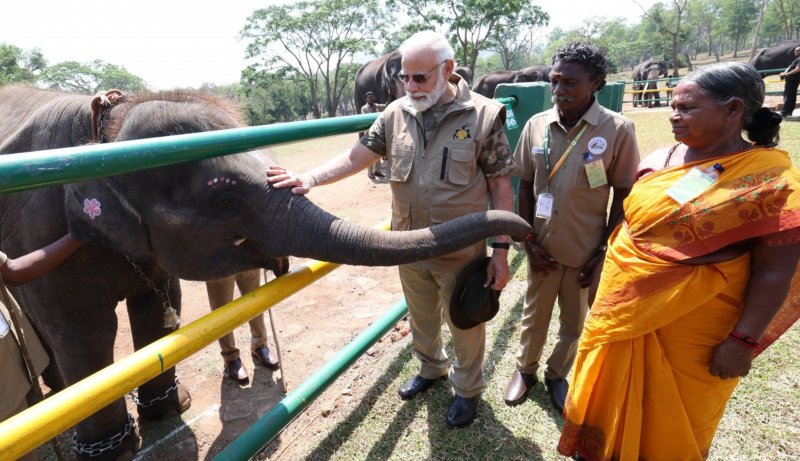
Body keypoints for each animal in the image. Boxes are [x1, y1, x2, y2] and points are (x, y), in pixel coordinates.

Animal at [0, 84, 532, 458]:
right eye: (224, 200)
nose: (524, 229)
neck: (107, 129)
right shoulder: (39, 231)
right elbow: (81, 330)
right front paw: (112, 451)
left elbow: (157, 309)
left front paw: (172, 408)